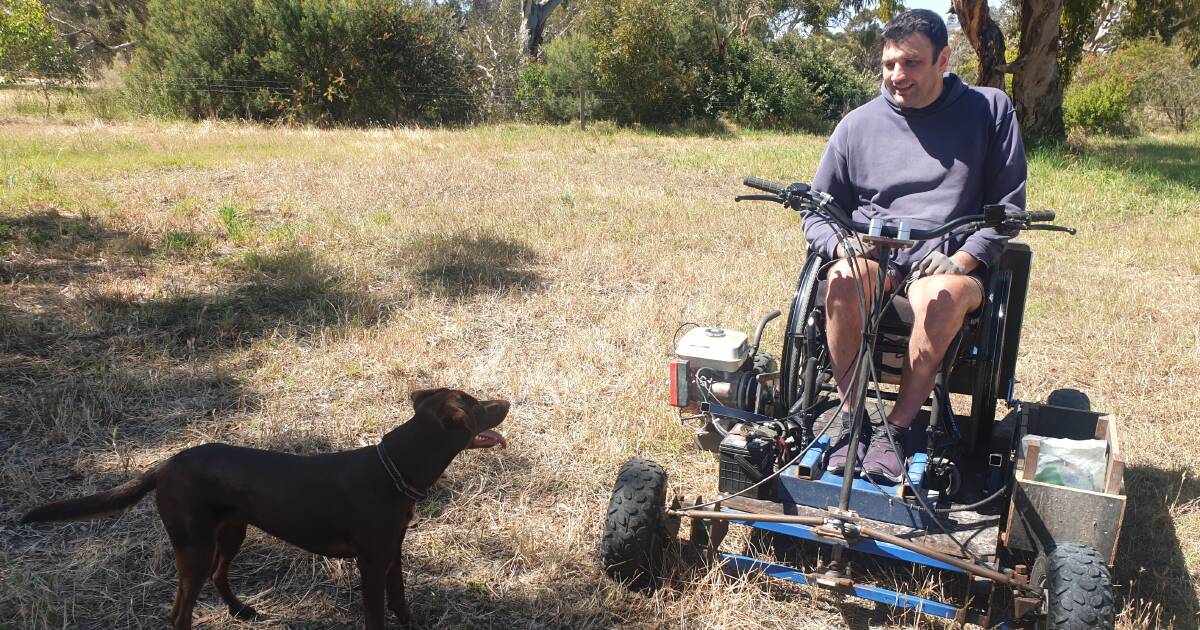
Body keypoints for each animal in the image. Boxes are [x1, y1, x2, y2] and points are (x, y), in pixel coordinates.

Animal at [19, 386, 506, 624]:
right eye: (478, 407)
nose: (507, 402)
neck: (396, 468)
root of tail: (164, 466)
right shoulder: (370, 562)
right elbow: (375, 615)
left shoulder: (393, 554)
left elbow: (400, 601)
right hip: (193, 547)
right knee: (180, 611)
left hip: (232, 531)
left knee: (219, 576)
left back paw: (241, 611)